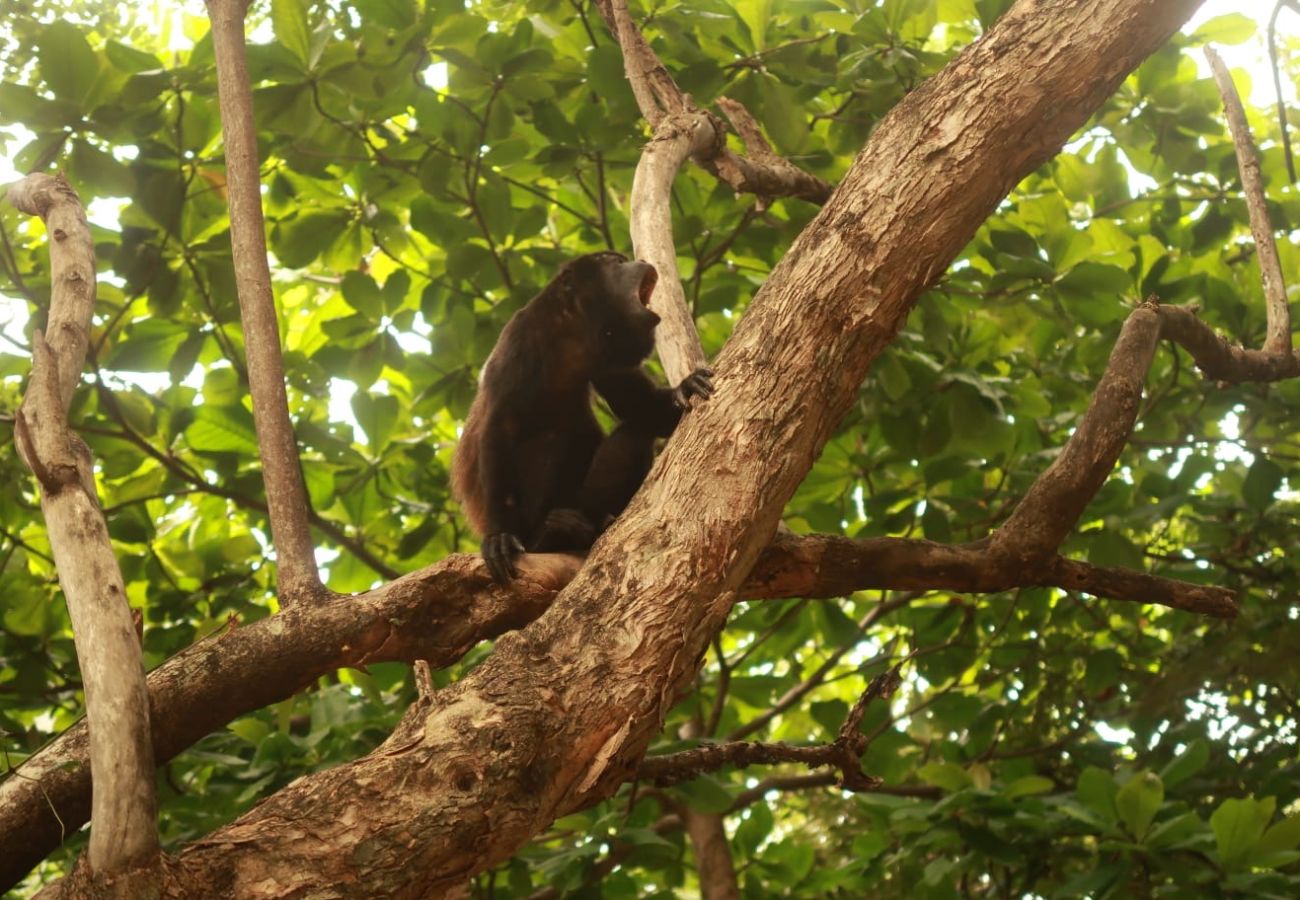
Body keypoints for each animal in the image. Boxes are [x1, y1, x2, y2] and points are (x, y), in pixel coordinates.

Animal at [447, 251, 712, 582]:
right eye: (615, 262)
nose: (638, 261)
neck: (572, 334)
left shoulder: (605, 354)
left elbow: (638, 407)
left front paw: (685, 389)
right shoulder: (521, 335)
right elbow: (500, 426)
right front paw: (499, 536)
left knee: (633, 435)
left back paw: (593, 524)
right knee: (552, 440)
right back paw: (550, 535)